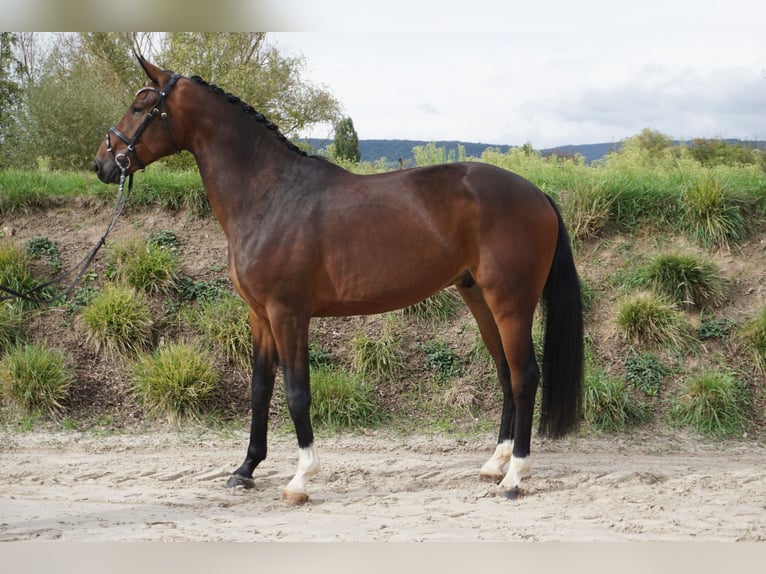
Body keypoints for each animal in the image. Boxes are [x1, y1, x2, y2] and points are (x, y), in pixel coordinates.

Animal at [93, 55, 584, 504]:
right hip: (479, 299)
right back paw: (495, 464)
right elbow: (259, 389)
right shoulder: (259, 316)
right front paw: (246, 469)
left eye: (140, 106)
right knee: (505, 374)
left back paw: (514, 477)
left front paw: (300, 479)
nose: (103, 164)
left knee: (525, 376)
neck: (270, 195)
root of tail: (538, 194)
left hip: (510, 303)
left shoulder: (288, 314)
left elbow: (296, 392)